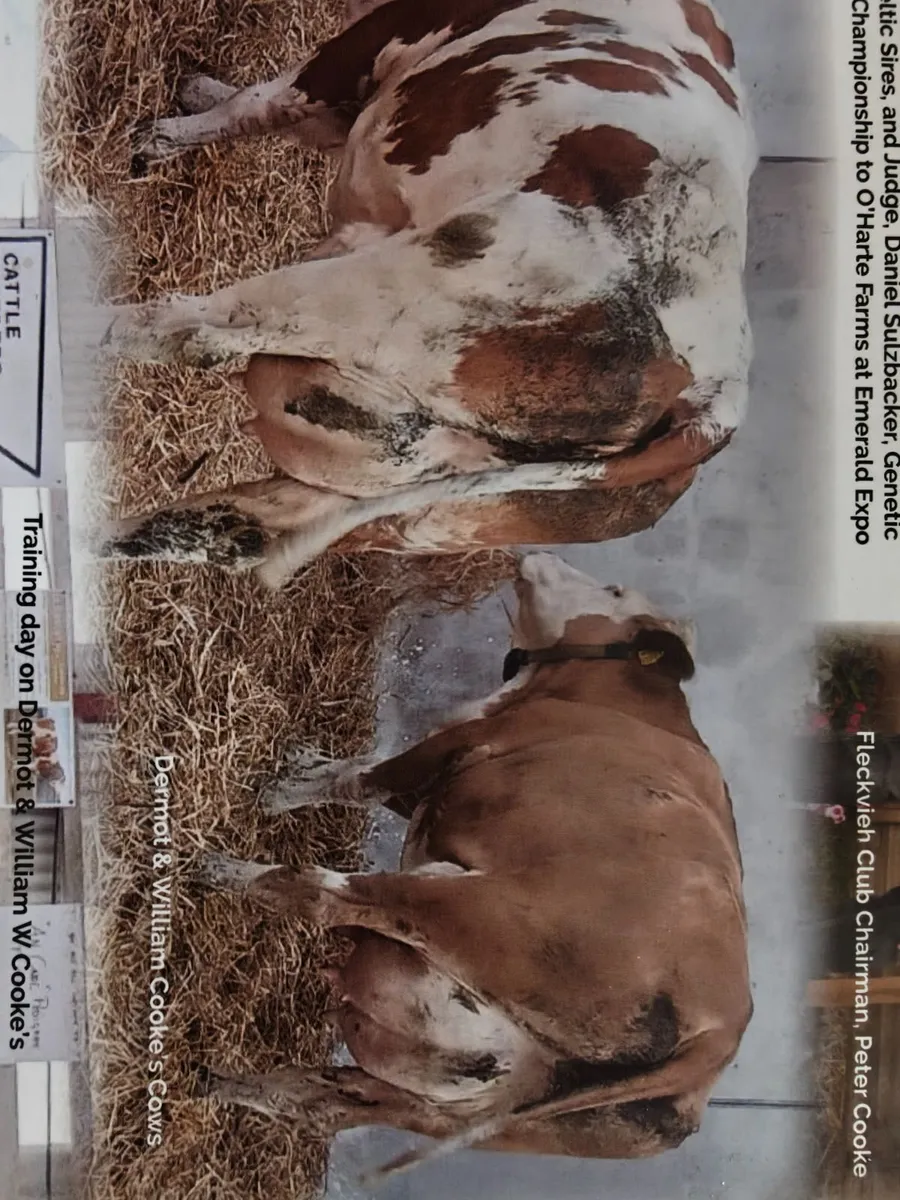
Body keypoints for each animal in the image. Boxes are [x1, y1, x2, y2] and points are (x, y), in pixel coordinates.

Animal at [98, 0, 756, 589]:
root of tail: (712, 402)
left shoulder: (379, 36)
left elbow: (264, 104)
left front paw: (163, 133)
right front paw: (195, 93)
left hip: (372, 295)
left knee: (188, 332)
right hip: (431, 513)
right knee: (231, 529)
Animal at [194, 553, 752, 1184]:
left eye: (613, 590)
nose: (537, 554)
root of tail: (719, 1037)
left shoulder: (451, 746)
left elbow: (357, 778)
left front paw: (281, 791)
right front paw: (303, 764)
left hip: (469, 909)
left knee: (321, 895)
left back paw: (219, 869)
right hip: (456, 1109)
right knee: (319, 1104)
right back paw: (221, 1083)